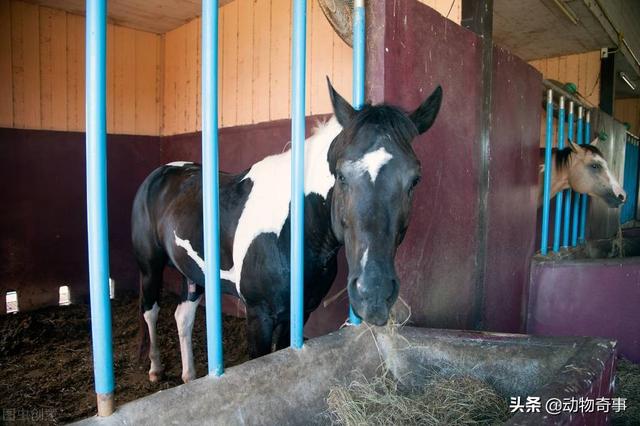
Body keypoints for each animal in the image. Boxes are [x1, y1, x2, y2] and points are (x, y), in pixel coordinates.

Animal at [132, 79, 442, 382]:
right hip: (150, 268)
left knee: (182, 316)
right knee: (150, 311)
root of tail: (161, 173)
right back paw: (155, 369)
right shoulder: (259, 315)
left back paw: (189, 375)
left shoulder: (299, 311)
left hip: (194, 275)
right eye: (341, 175)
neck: (294, 231)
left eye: (415, 179)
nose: (373, 295)